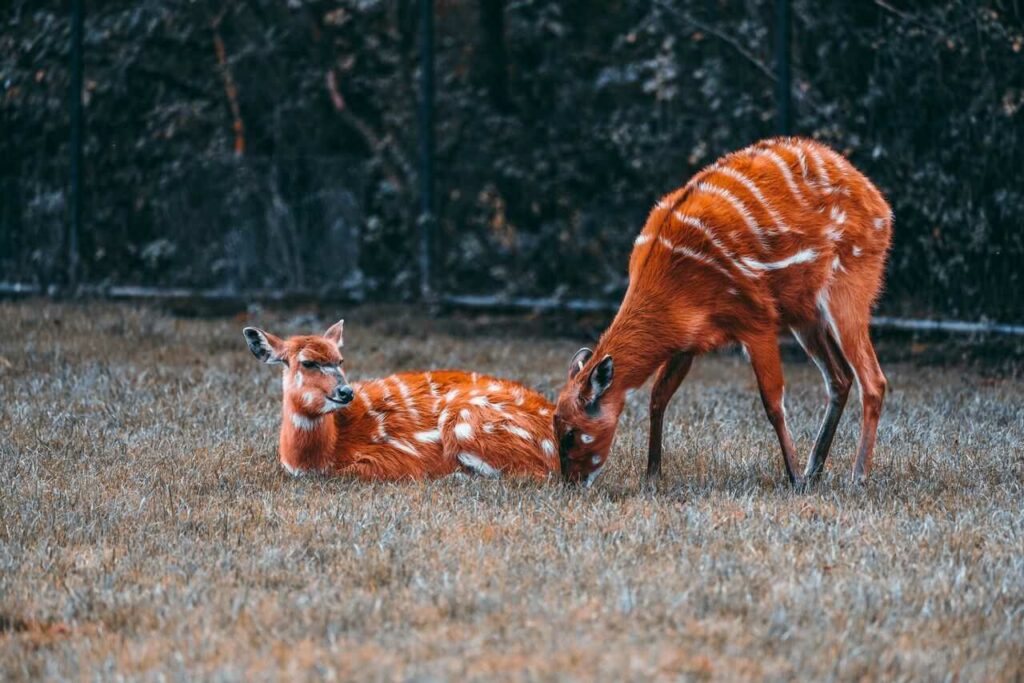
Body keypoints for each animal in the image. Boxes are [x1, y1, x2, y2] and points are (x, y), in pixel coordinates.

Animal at [241, 321, 561, 481]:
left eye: (340, 359)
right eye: (307, 362)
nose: (346, 392)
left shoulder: (397, 456)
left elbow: (352, 473)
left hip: (465, 421)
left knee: (535, 475)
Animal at [557, 139, 892, 489]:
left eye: (571, 435)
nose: (570, 483)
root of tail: (881, 204)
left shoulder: (757, 320)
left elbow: (772, 402)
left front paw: (794, 477)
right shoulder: (689, 341)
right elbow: (658, 396)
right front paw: (652, 475)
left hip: (848, 289)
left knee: (873, 380)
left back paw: (857, 475)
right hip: (805, 316)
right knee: (840, 377)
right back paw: (816, 469)